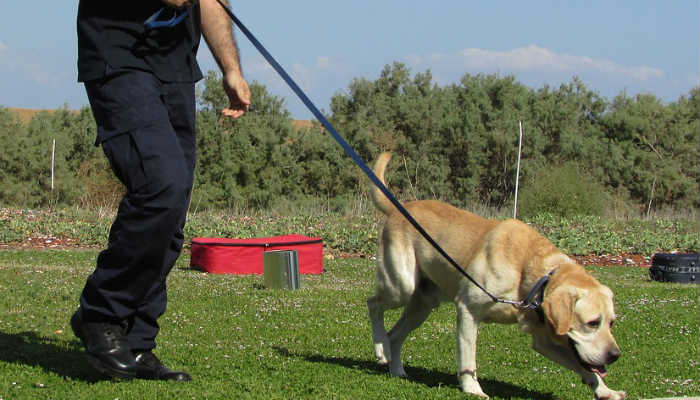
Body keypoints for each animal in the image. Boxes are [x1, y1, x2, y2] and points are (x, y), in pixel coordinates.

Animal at [366, 152, 624, 398]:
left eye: (611, 322)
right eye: (592, 323)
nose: (615, 355)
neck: (529, 271)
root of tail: (399, 207)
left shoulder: (544, 339)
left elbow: (585, 368)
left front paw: (605, 391)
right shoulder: (468, 310)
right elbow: (468, 359)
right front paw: (472, 389)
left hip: (423, 304)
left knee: (395, 335)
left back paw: (395, 367)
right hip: (401, 286)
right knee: (373, 303)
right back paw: (380, 346)